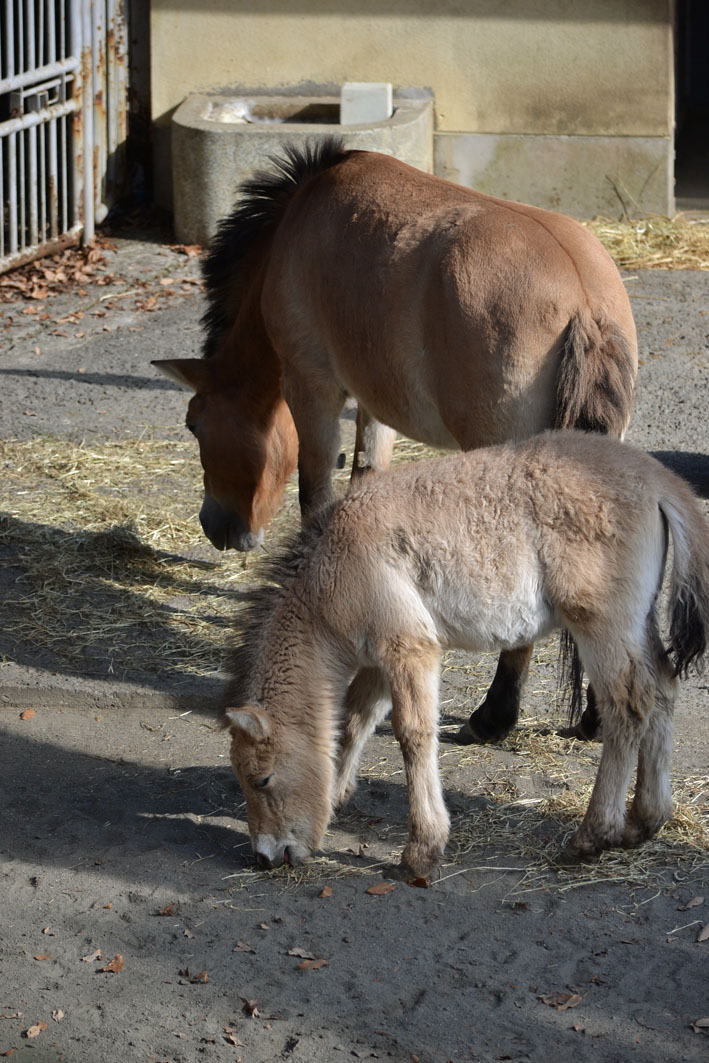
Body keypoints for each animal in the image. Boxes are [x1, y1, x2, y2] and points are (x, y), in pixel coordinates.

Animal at [156, 137, 637, 744]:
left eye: (194, 424)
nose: (215, 527)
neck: (301, 215)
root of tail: (583, 300)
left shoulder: (313, 387)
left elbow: (317, 495)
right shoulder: (374, 403)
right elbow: (364, 484)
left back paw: (495, 715)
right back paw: (596, 713)